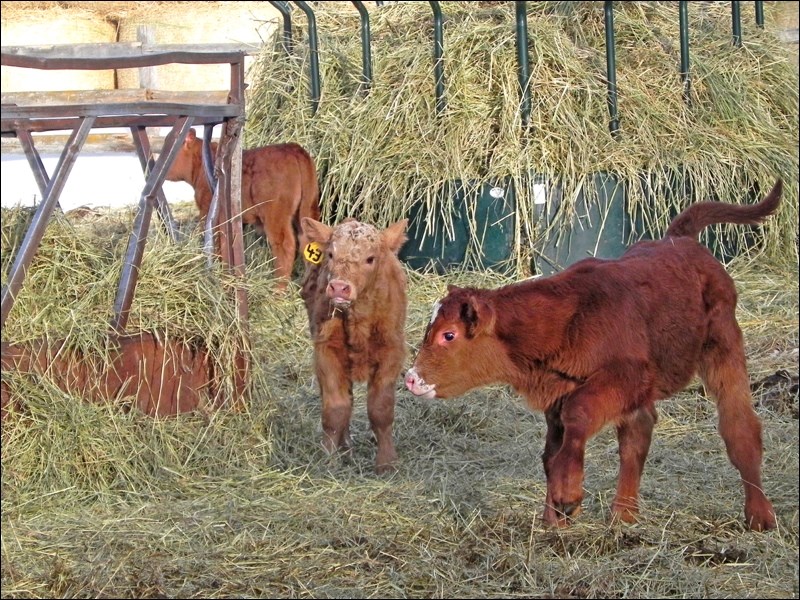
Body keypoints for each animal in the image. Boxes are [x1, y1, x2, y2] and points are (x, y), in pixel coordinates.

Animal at [298, 216, 406, 474]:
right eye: (330, 254)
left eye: (370, 258)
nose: (339, 287)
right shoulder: (326, 352)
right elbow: (336, 408)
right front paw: (328, 458)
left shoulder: (392, 352)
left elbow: (380, 408)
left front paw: (386, 462)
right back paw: (345, 446)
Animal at [406, 178, 780, 528]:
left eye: (449, 335)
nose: (410, 379)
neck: (570, 317)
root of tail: (679, 241)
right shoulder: (559, 394)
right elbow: (552, 452)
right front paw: (554, 517)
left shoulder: (625, 377)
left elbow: (579, 416)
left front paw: (568, 495)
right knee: (638, 431)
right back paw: (623, 514)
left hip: (723, 345)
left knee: (739, 427)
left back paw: (760, 515)